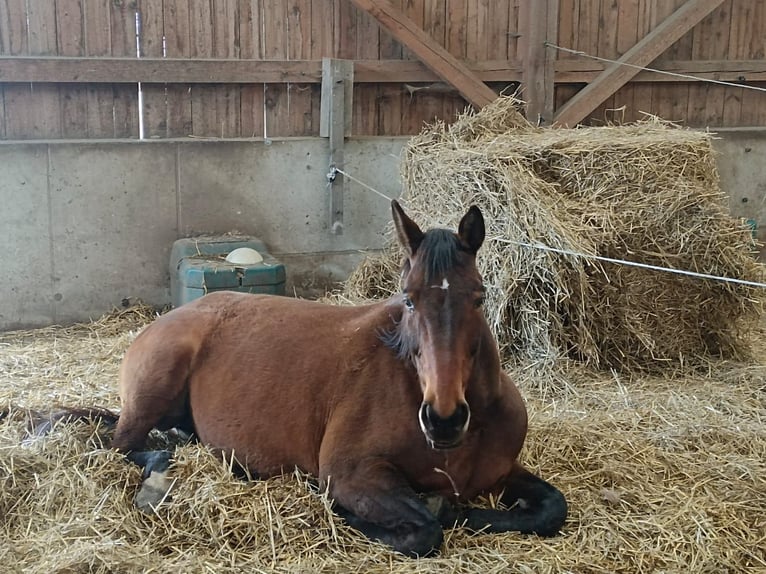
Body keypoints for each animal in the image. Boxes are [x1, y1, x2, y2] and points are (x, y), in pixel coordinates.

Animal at [66, 202, 568, 560]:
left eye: (479, 298)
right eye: (408, 299)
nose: (444, 419)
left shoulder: (503, 471)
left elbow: (551, 510)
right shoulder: (352, 474)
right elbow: (423, 530)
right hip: (153, 390)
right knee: (121, 446)